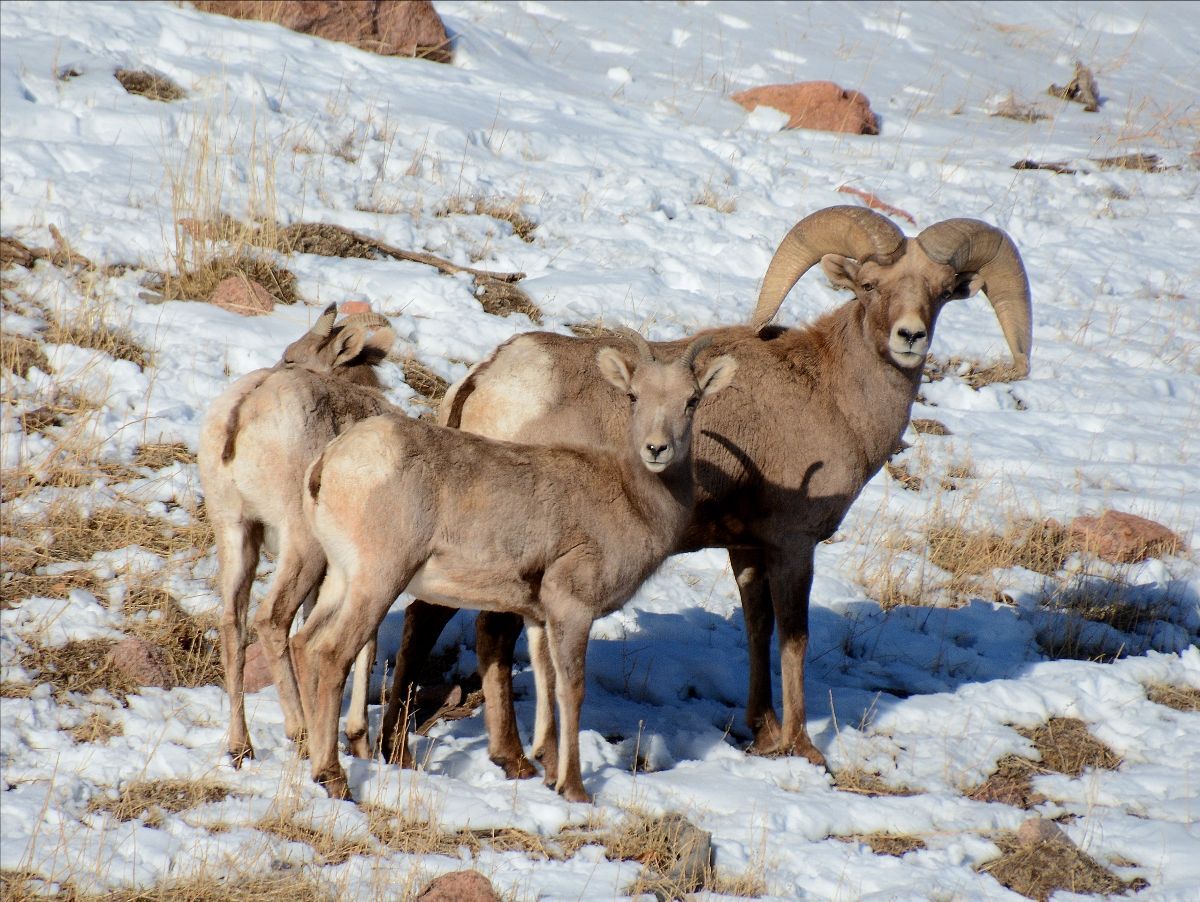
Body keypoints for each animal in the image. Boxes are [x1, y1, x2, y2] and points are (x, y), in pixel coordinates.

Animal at [196, 307, 393, 762]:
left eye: (290, 357)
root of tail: (242, 412)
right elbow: (366, 645)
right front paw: (357, 738)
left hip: (234, 530)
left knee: (234, 623)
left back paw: (241, 746)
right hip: (301, 543)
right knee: (271, 620)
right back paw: (300, 732)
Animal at [295, 333, 734, 801]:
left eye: (691, 399)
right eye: (634, 395)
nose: (656, 448)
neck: (631, 500)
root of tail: (329, 464)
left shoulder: (539, 617)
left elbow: (546, 683)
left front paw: (548, 770)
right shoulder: (572, 609)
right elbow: (570, 690)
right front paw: (574, 789)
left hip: (340, 579)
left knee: (304, 644)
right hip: (378, 582)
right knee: (332, 653)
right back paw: (333, 777)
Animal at [381, 203, 1032, 777]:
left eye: (941, 291)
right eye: (871, 285)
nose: (909, 337)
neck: (834, 395)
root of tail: (487, 380)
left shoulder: (746, 548)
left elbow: (757, 629)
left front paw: (762, 732)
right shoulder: (793, 545)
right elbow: (794, 638)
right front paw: (802, 748)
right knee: (462, 628)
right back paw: (463, 756)